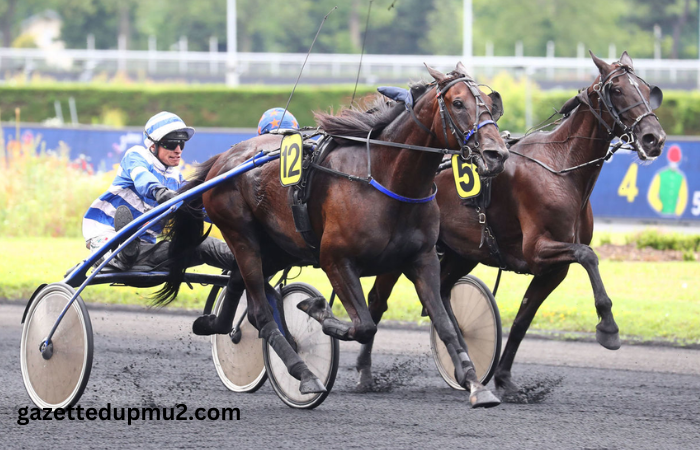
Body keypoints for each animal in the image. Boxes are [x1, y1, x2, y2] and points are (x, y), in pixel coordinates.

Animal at [157, 61, 508, 406]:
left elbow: (445, 323)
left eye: (489, 103)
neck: (387, 179)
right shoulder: (335, 259)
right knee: (260, 311)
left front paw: (475, 383)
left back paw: (215, 324)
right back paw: (304, 373)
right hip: (241, 235)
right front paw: (316, 309)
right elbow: (364, 325)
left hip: (277, 246)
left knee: (238, 284)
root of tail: (223, 159)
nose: (497, 154)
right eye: (458, 103)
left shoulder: (422, 259)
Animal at [358, 52, 664, 396]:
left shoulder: (553, 269)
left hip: (461, 252)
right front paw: (608, 327)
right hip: (404, 251)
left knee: (443, 291)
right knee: (378, 300)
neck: (560, 167)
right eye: (618, 90)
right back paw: (365, 372)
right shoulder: (538, 250)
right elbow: (589, 256)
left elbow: (522, 320)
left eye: (646, 89)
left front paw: (504, 378)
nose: (654, 138)